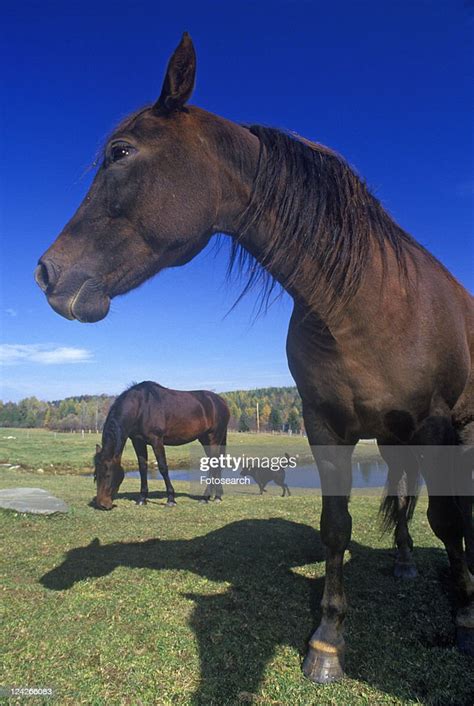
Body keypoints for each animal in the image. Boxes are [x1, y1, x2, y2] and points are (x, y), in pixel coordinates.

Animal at [93, 382, 230, 508]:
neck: (141, 407)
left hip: (214, 438)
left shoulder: (156, 440)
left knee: (214, 464)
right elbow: (142, 468)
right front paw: (142, 499)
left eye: (108, 475)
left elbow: (163, 467)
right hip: (205, 439)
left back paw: (207, 497)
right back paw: (215, 496)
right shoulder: (138, 441)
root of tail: (221, 401)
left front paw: (171, 499)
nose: (102, 504)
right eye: (96, 475)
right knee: (215, 463)